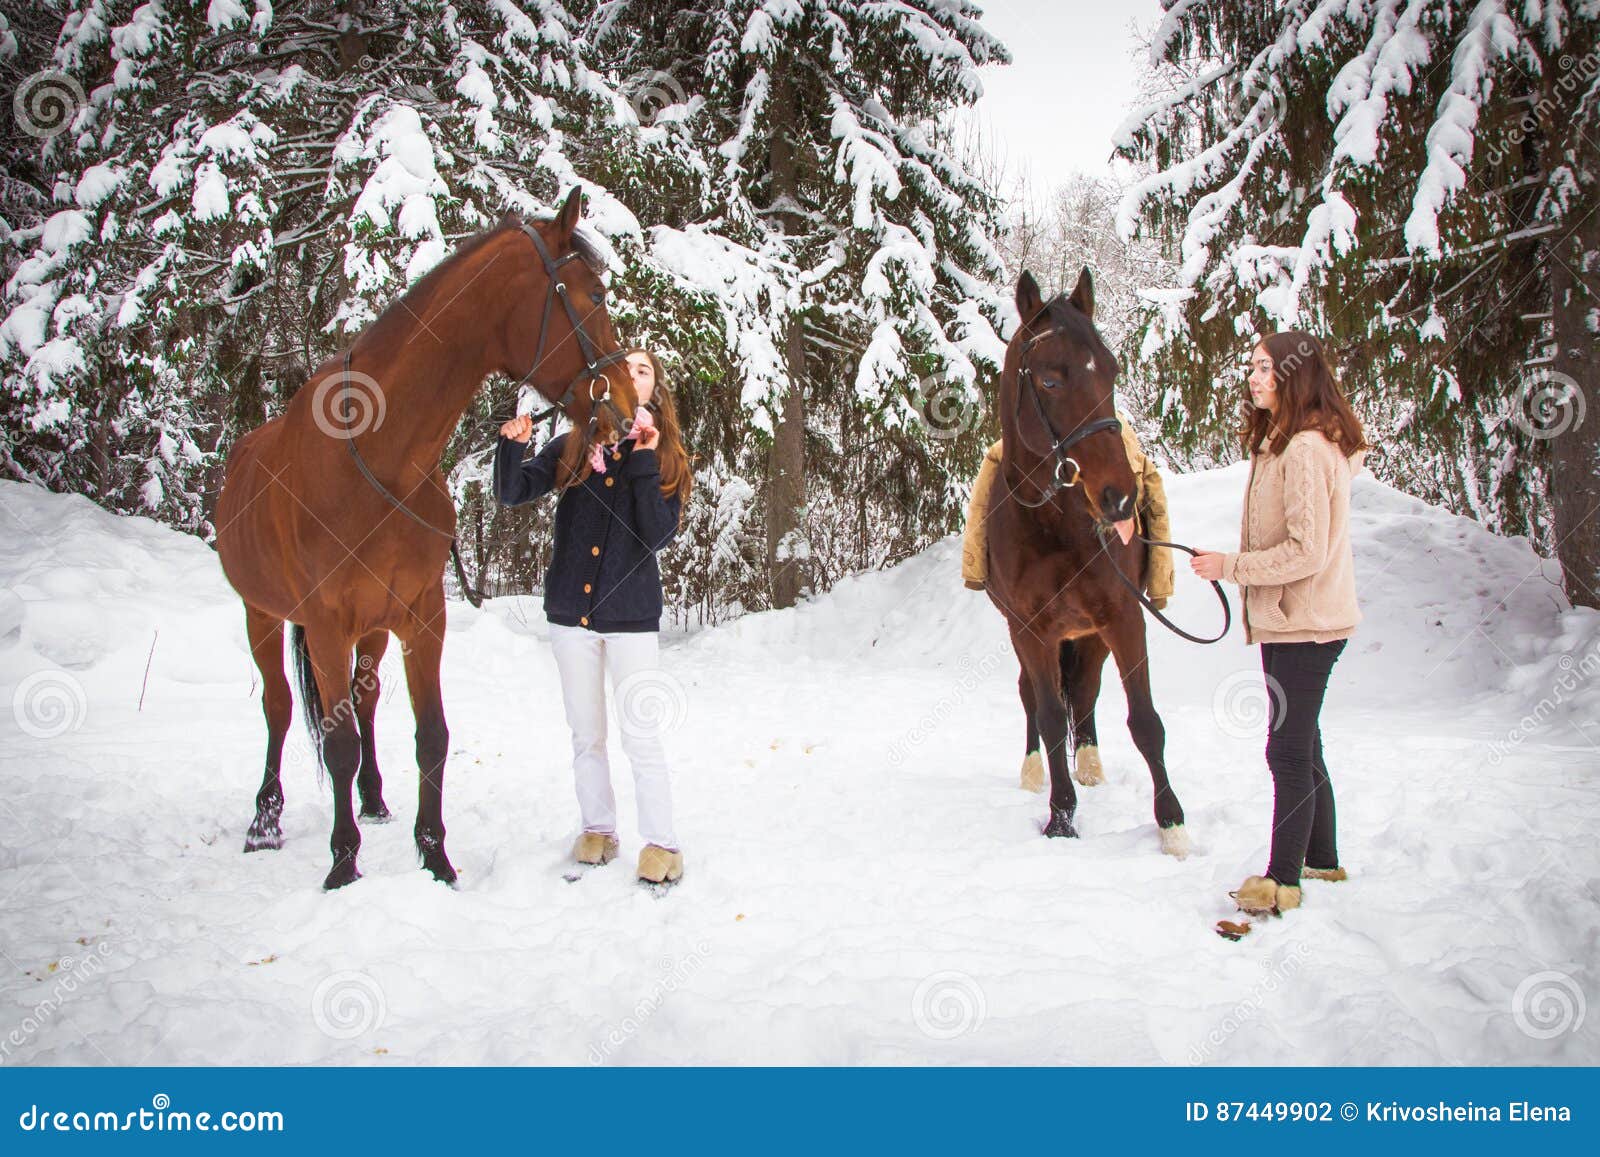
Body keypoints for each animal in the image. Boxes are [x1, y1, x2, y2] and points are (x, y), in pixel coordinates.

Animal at [214, 188, 636, 889]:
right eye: (591, 295)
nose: (627, 408)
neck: (379, 459)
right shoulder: (324, 624)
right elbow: (335, 742)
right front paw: (343, 864)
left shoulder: (420, 615)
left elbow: (430, 733)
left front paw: (435, 856)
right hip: (260, 614)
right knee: (279, 707)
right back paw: (264, 821)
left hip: (372, 630)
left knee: (364, 703)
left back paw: (374, 799)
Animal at [983, 268, 1189, 858]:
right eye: (1050, 382)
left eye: (1113, 370)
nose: (1118, 498)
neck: (1053, 523)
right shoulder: (1030, 628)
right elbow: (1051, 715)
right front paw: (1061, 817)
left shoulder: (1124, 615)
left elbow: (1145, 721)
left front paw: (1172, 825)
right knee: (1035, 696)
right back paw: (1035, 772)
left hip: (1092, 632)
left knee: (1089, 692)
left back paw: (1092, 767)